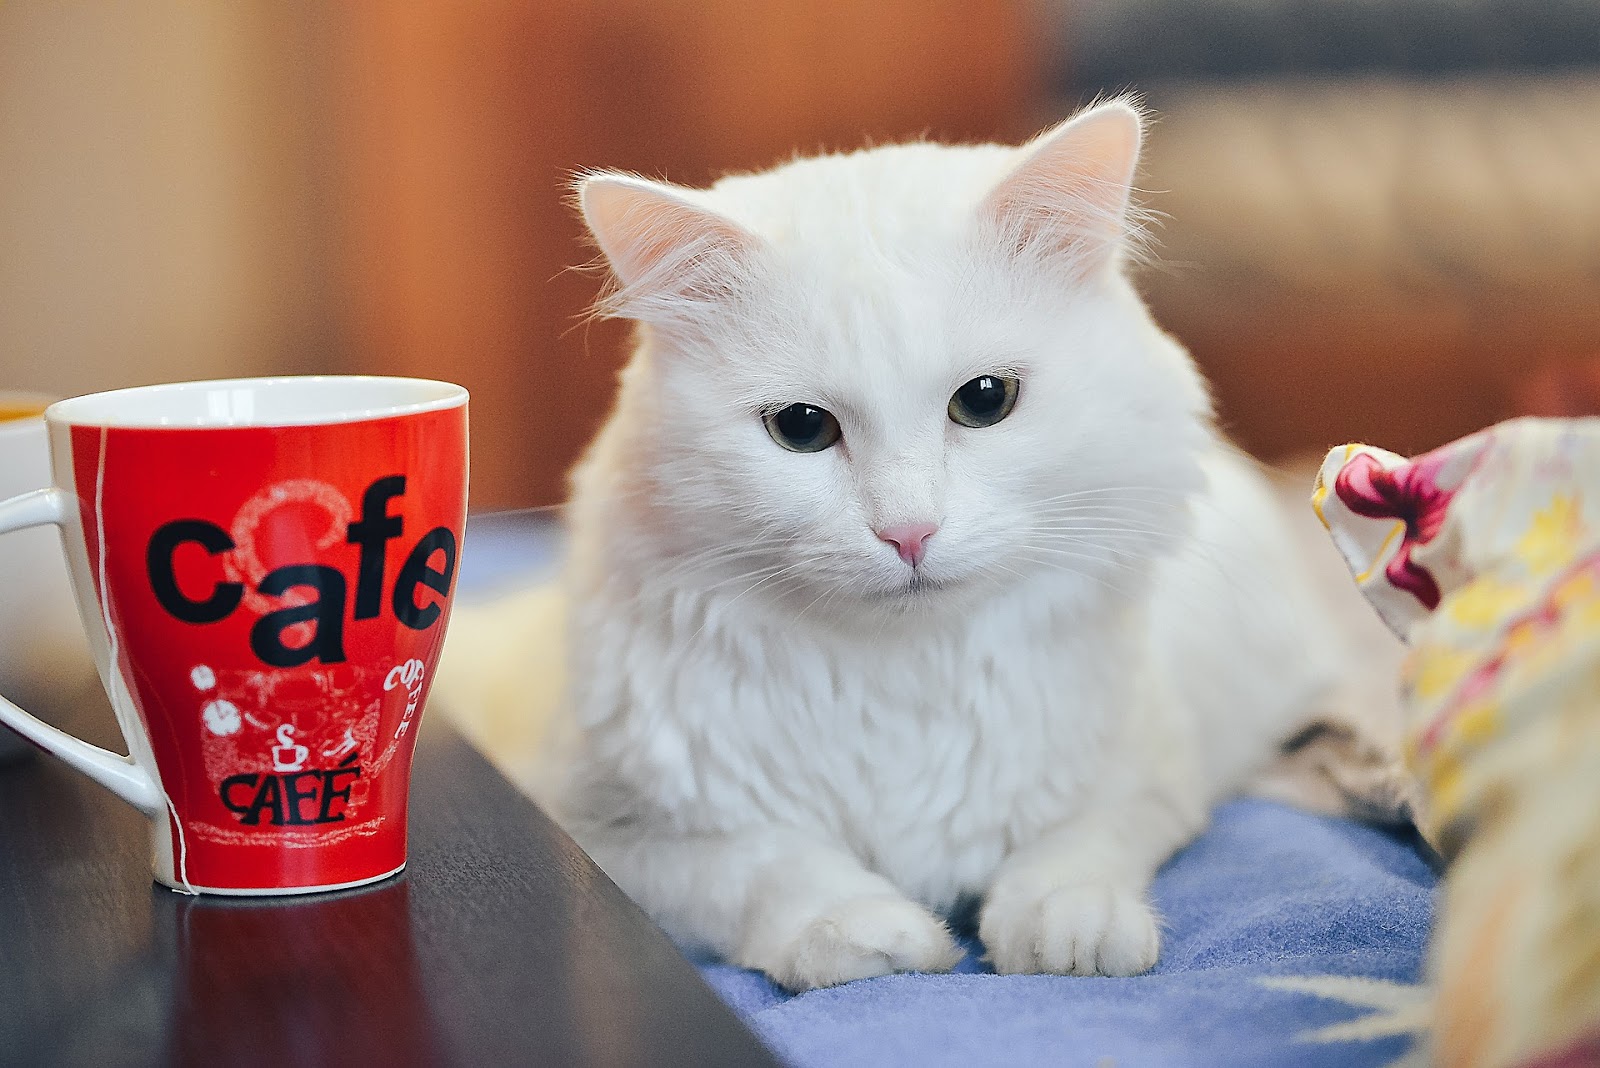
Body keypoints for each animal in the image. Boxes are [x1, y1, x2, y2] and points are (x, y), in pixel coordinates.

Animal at [441, 99, 1376, 991]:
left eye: (986, 400)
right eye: (802, 428)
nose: (908, 531)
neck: (902, 677)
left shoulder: (1151, 773)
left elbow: (1078, 846)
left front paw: (1066, 930)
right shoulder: (608, 832)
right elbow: (773, 867)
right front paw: (872, 935)